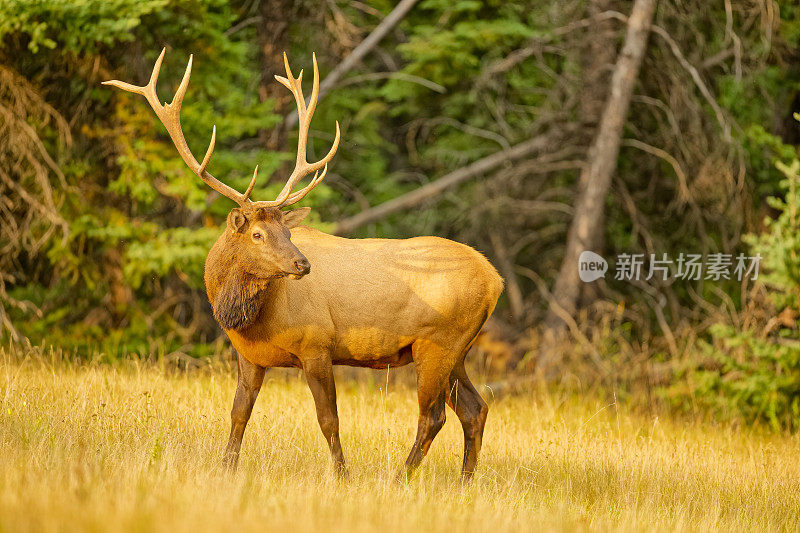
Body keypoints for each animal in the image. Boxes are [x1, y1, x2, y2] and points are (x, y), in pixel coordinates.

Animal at [103, 51, 504, 482]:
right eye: (258, 233)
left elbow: (329, 419)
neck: (248, 317)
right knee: (475, 409)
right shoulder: (248, 356)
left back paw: (400, 479)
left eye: (286, 230)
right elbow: (238, 413)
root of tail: (495, 279)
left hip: (437, 342)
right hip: (456, 350)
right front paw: (226, 468)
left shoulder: (317, 345)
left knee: (433, 417)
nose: (302, 262)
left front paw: (342, 475)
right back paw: (463, 483)